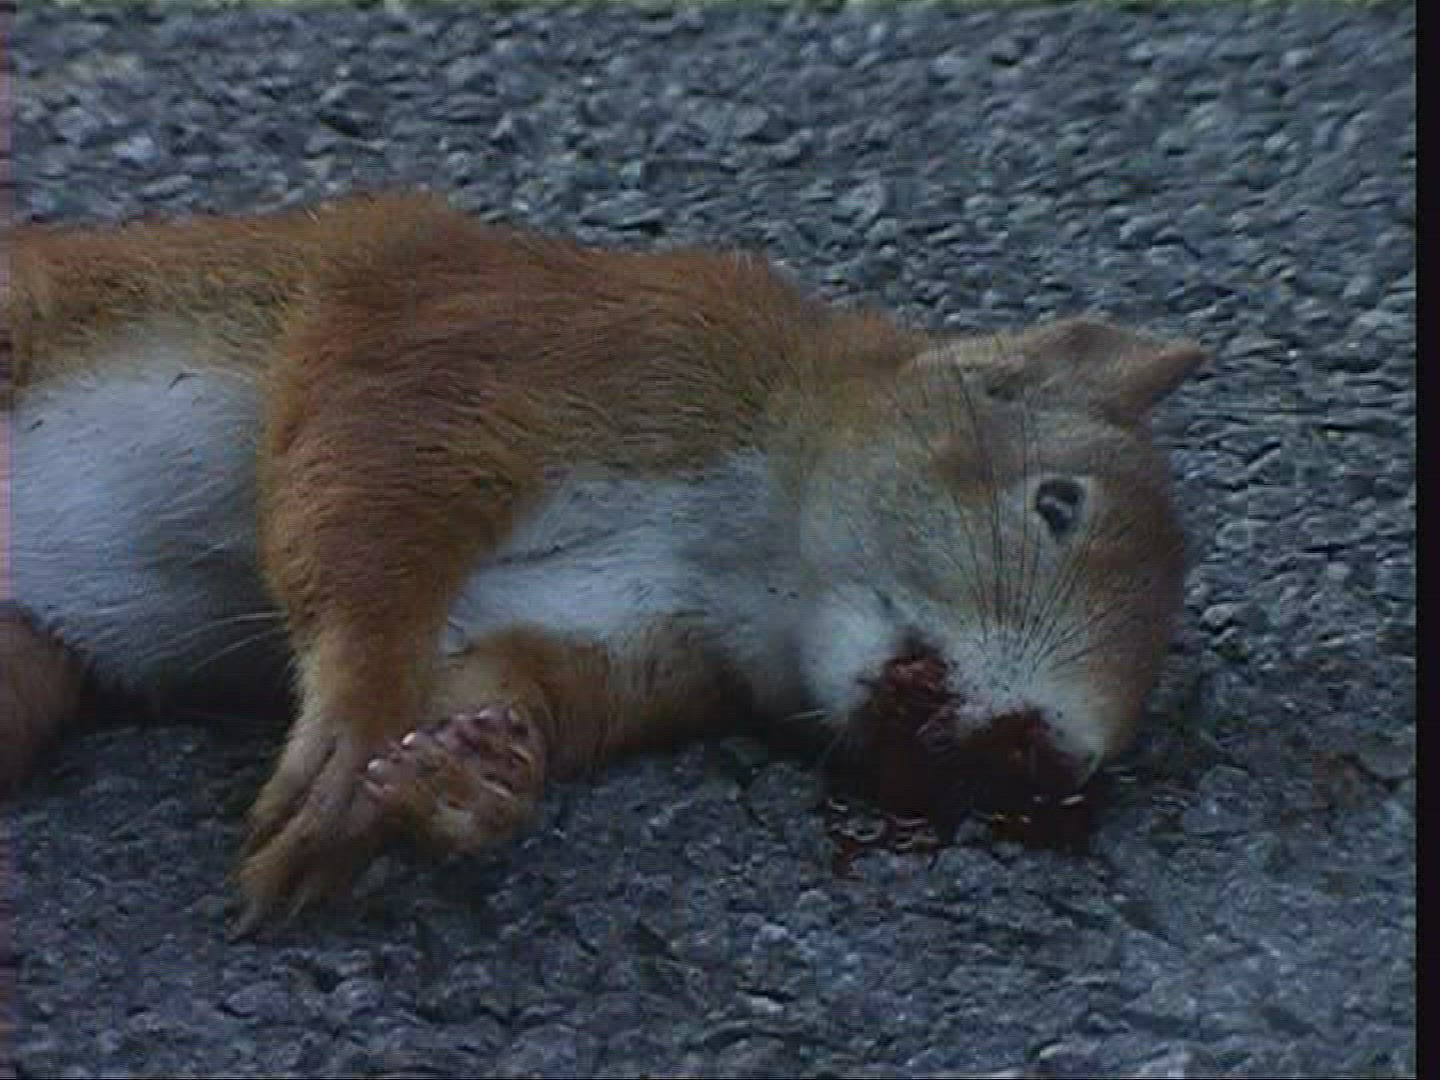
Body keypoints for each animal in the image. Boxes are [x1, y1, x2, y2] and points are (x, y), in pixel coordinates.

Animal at [2, 191, 1204, 932]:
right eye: (1058, 503)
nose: (1041, 753)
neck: (744, 550)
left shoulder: (631, 638)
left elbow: (513, 678)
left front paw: (477, 779)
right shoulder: (523, 345)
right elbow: (370, 504)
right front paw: (350, 736)